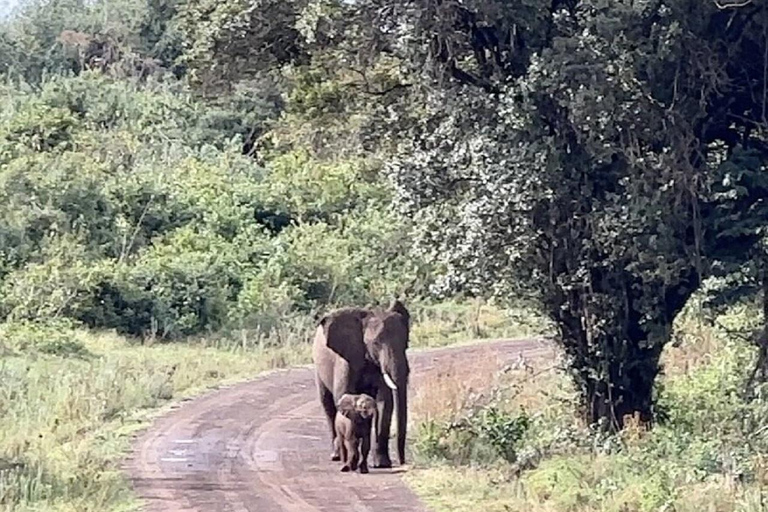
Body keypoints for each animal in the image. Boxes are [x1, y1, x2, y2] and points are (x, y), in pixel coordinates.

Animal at [312, 300, 412, 468]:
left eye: (406, 343)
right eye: (376, 343)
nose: (402, 462)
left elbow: (385, 402)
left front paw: (382, 464)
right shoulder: (345, 360)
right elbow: (343, 395)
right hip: (319, 369)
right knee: (328, 405)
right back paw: (336, 455)